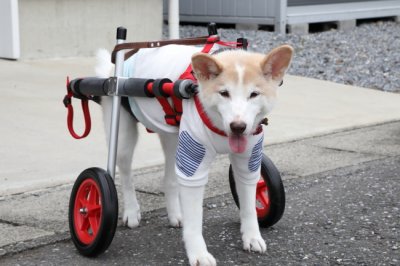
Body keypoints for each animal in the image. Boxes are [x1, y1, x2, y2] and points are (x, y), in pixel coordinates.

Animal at [95, 42, 292, 264]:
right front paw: (198, 254)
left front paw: (252, 237)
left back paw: (175, 215)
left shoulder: (248, 162)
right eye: (224, 93)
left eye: (254, 94)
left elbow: (249, 207)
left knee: (170, 179)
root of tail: (118, 65)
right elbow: (195, 221)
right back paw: (131, 212)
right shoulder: (194, 166)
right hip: (123, 138)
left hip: (173, 138)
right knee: (126, 176)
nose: (238, 126)